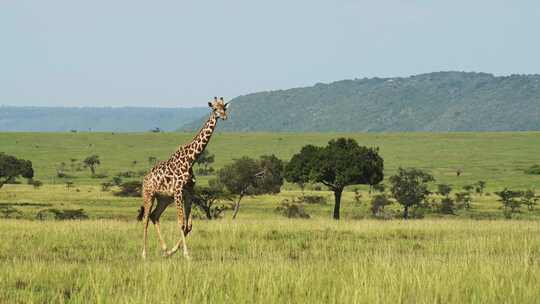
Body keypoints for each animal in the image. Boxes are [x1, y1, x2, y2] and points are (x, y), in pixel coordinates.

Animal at [138, 96, 229, 258]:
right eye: (214, 109)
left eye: (224, 107)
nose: (224, 116)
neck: (191, 159)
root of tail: (144, 179)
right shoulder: (178, 191)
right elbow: (181, 223)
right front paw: (186, 254)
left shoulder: (189, 192)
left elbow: (189, 225)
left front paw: (174, 251)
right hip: (149, 195)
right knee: (145, 219)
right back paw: (144, 254)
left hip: (164, 199)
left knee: (155, 216)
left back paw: (165, 250)